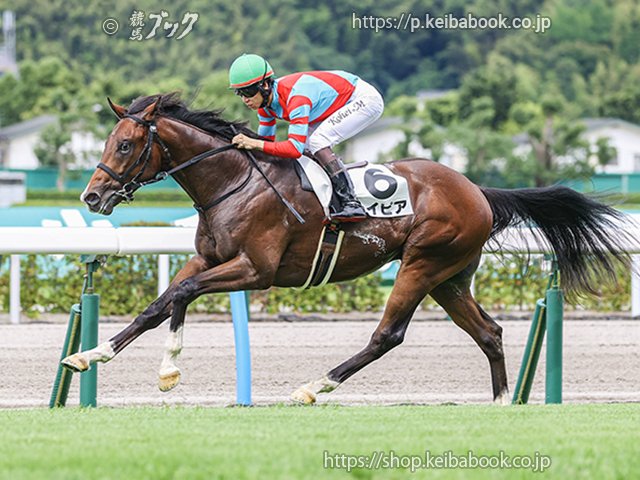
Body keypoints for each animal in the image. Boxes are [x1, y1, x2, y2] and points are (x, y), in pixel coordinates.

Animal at [61, 93, 629, 405]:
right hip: (450, 277)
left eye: (126, 145)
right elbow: (160, 303)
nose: (92, 197)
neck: (233, 181)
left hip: (423, 263)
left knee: (388, 335)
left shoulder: (255, 269)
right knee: (489, 332)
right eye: (110, 142)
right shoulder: (210, 258)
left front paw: (168, 370)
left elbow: (182, 296)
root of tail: (478, 191)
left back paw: (315, 386)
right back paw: (500, 402)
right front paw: (90, 355)